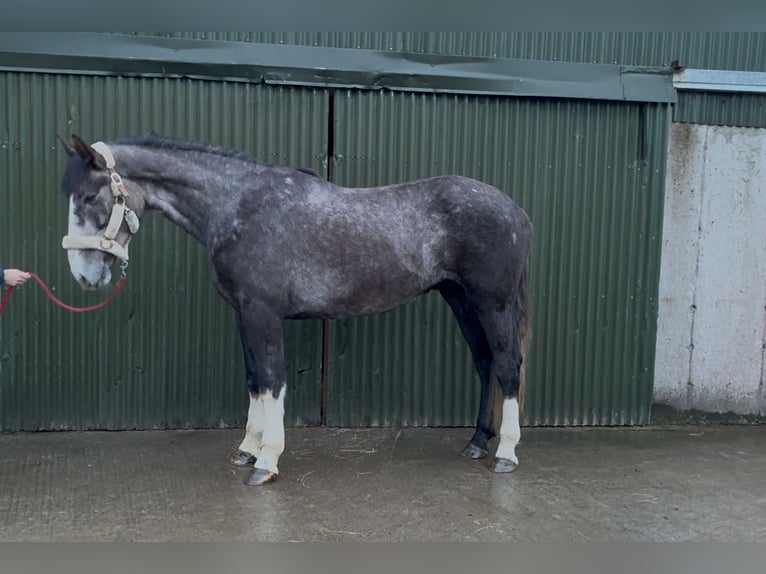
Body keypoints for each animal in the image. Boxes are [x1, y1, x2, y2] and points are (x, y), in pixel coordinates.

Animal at [58, 133, 532, 486]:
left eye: (89, 196)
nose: (82, 274)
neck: (238, 207)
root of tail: (515, 211)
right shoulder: (243, 314)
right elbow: (254, 379)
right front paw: (247, 451)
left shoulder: (262, 313)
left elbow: (272, 381)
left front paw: (267, 460)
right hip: (460, 299)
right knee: (486, 363)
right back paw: (477, 443)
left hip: (493, 304)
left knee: (508, 364)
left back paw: (506, 453)